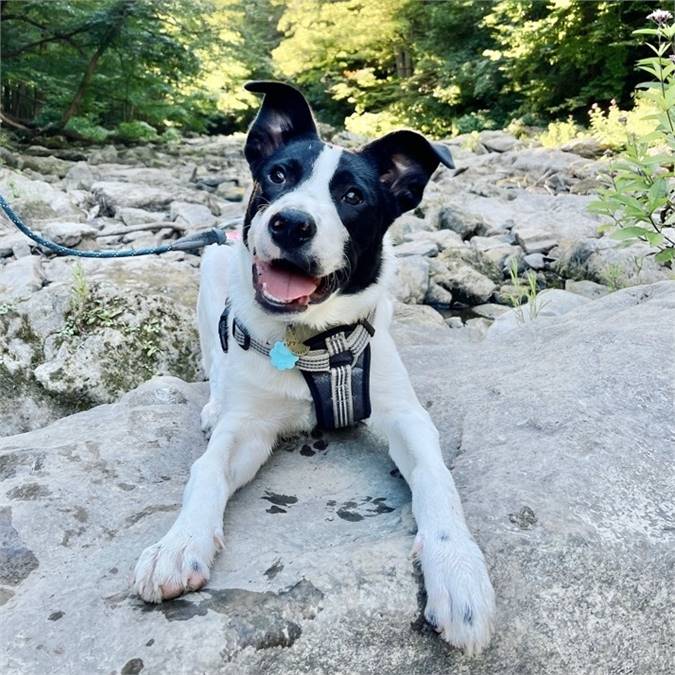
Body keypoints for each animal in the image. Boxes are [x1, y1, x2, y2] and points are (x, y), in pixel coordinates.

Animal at [133, 80, 496, 656]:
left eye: (353, 197)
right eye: (279, 175)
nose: (291, 223)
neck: (313, 340)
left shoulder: (405, 415)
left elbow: (436, 478)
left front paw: (458, 571)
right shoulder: (249, 427)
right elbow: (207, 469)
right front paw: (179, 542)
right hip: (210, 274)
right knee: (215, 361)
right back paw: (212, 403)